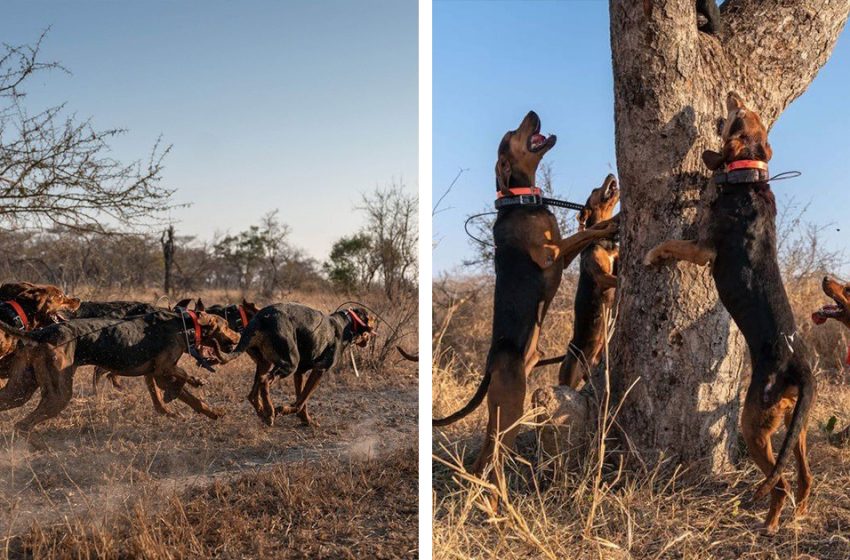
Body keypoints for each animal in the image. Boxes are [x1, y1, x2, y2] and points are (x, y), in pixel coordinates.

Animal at [556, 173, 616, 388]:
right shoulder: (600, 276)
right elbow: (614, 279)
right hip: (568, 377)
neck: (607, 243)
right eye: (594, 190)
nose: (611, 174)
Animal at [644, 92, 820, 532]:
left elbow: (672, 243)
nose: (734, 95)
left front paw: (652, 255)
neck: (748, 177)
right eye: (748, 114)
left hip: (754, 425)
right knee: (805, 476)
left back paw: (770, 523)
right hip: (797, 425)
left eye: (737, 117)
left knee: (779, 484)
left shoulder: (703, 248)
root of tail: (799, 367)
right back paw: (798, 515)